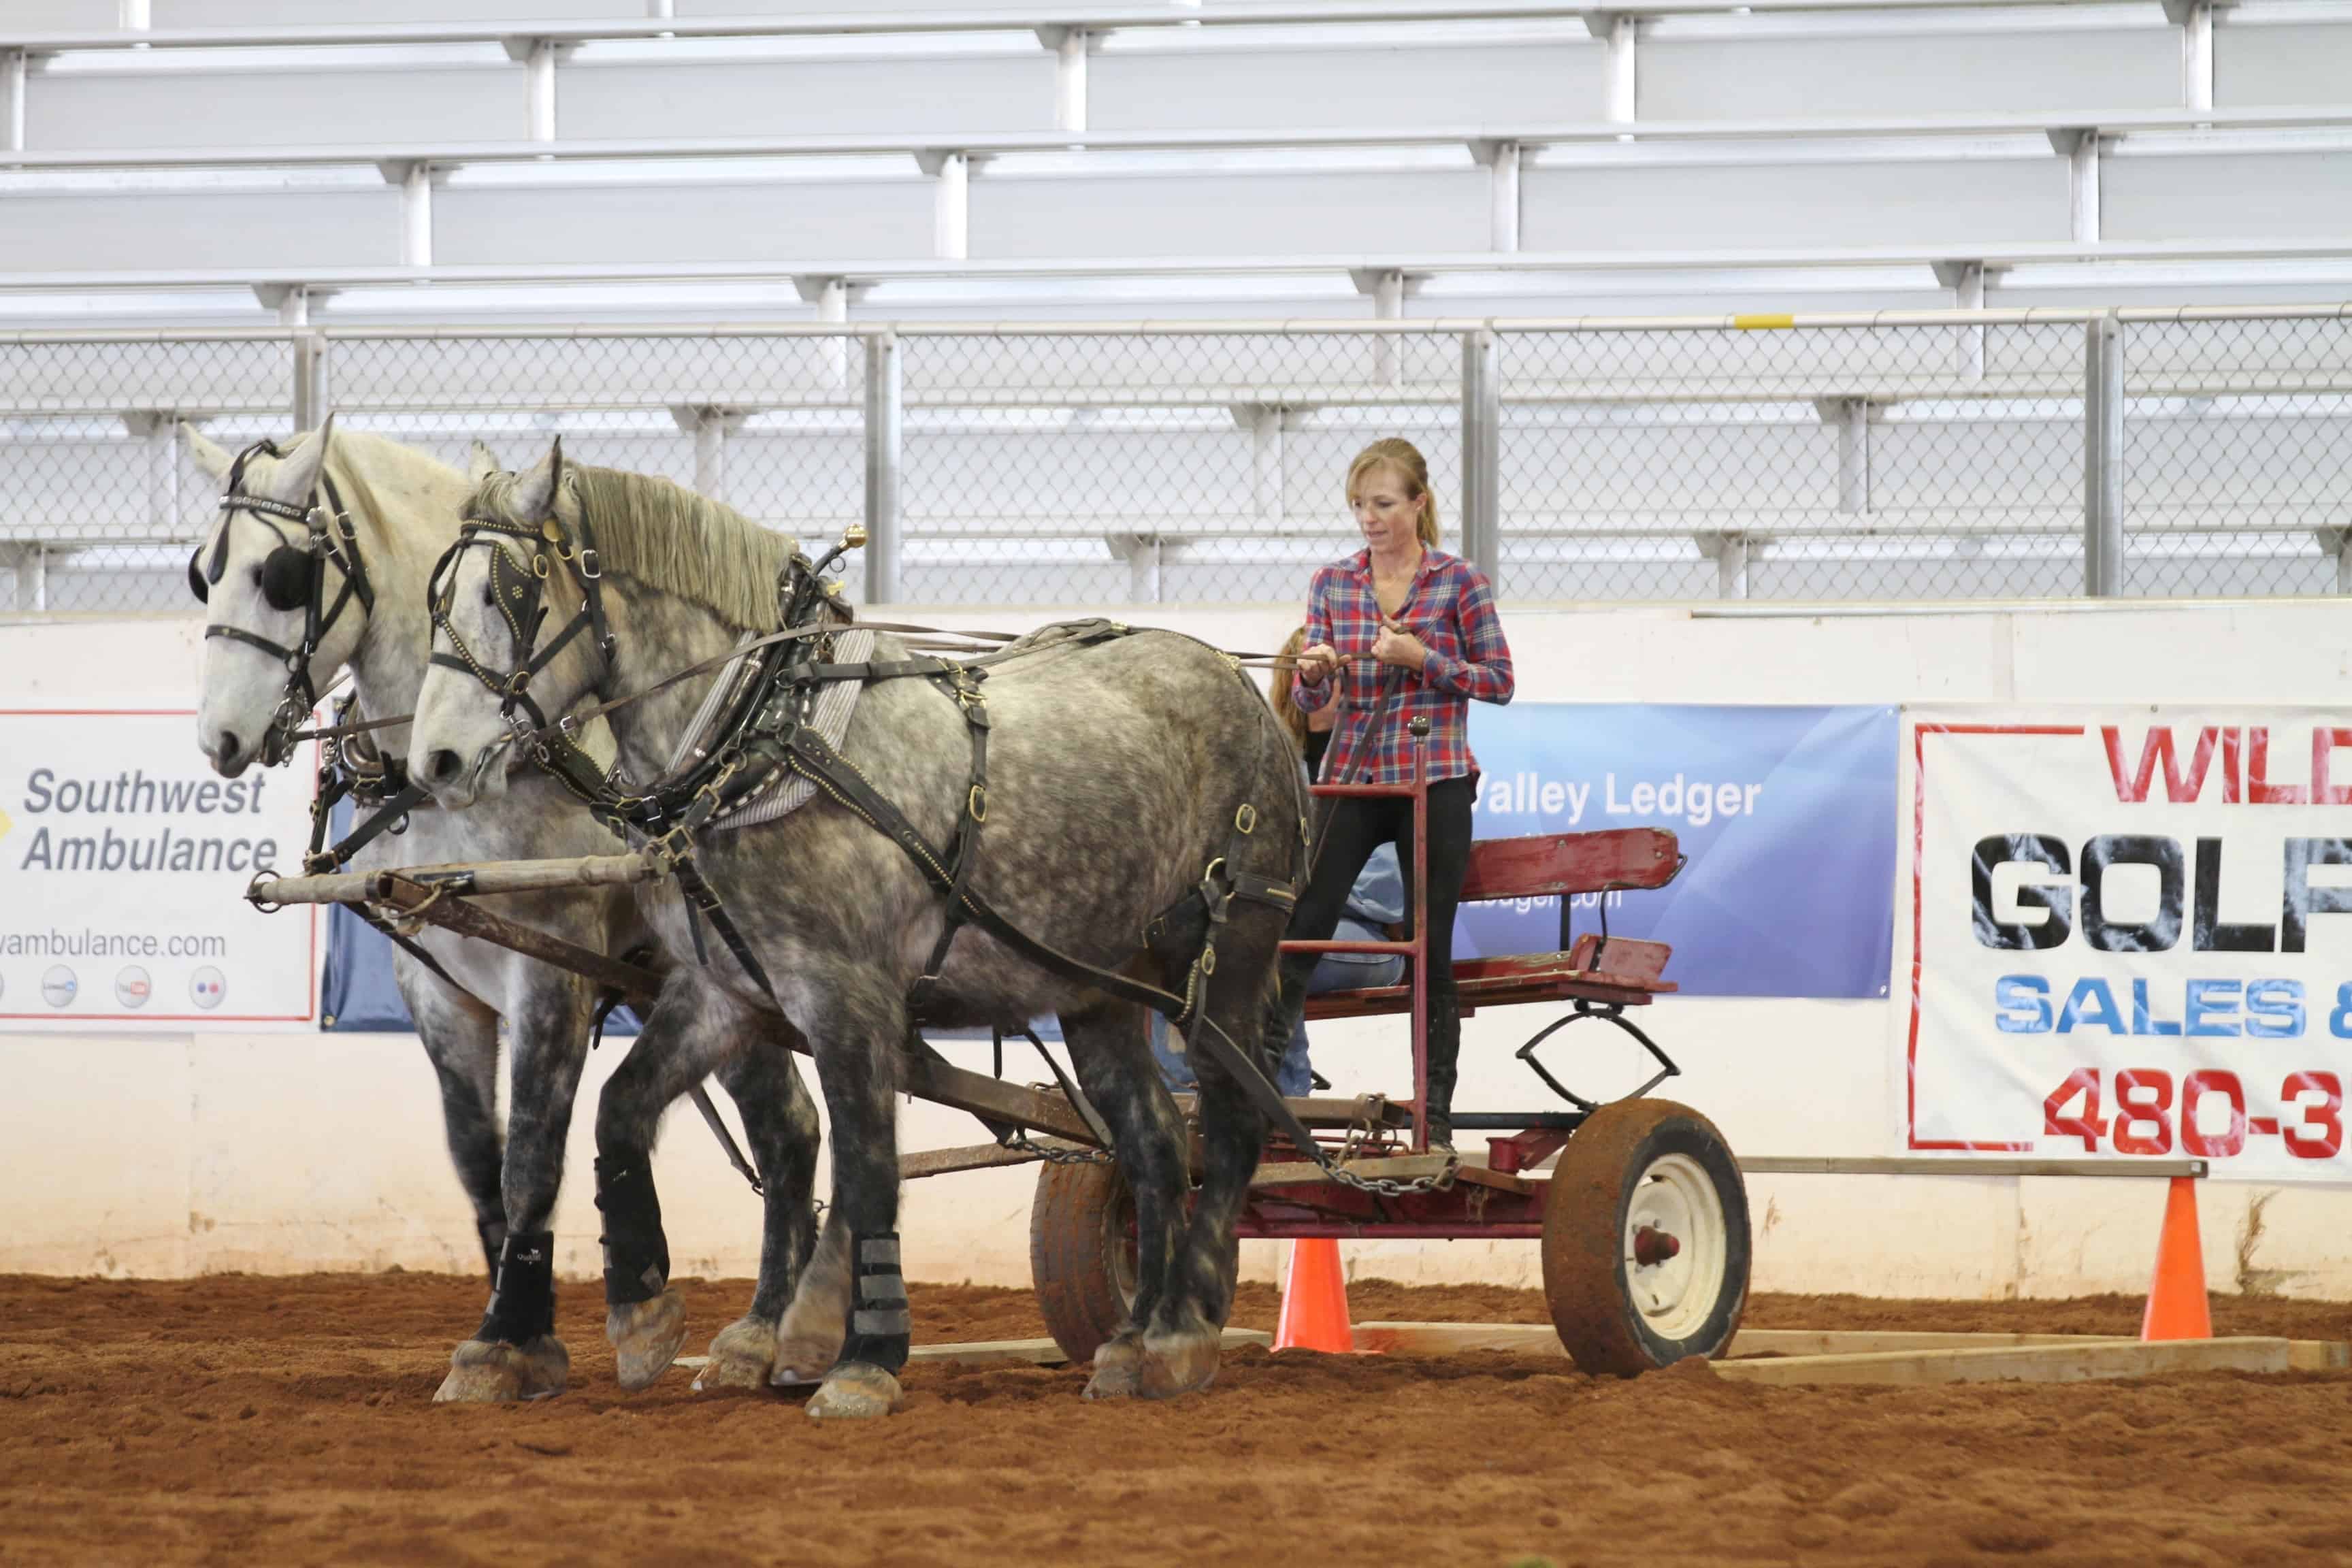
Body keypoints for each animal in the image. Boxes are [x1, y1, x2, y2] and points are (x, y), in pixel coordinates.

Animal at [185, 420, 831, 1400]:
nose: (219, 738)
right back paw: (764, 1333)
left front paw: (505, 1340)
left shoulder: (546, 975)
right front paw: (526, 1334)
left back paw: (763, 1333)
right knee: (786, 1125)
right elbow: (478, 1160)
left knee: (789, 1130)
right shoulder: (436, 985)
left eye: (283, 574)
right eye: (202, 572)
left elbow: (532, 1151)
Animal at [404, 442, 1309, 1420]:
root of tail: (1236, 677)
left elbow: (868, 1164)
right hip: (1099, 985)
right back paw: (1133, 1341)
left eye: (510, 591)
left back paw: (1185, 1329)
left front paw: (860, 1357)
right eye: (438, 594)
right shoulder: (727, 991)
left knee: (1231, 1124)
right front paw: (644, 1313)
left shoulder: (846, 994)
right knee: (1151, 1138)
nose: (434, 763)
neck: (770, 733)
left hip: (1226, 957)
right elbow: (620, 1114)